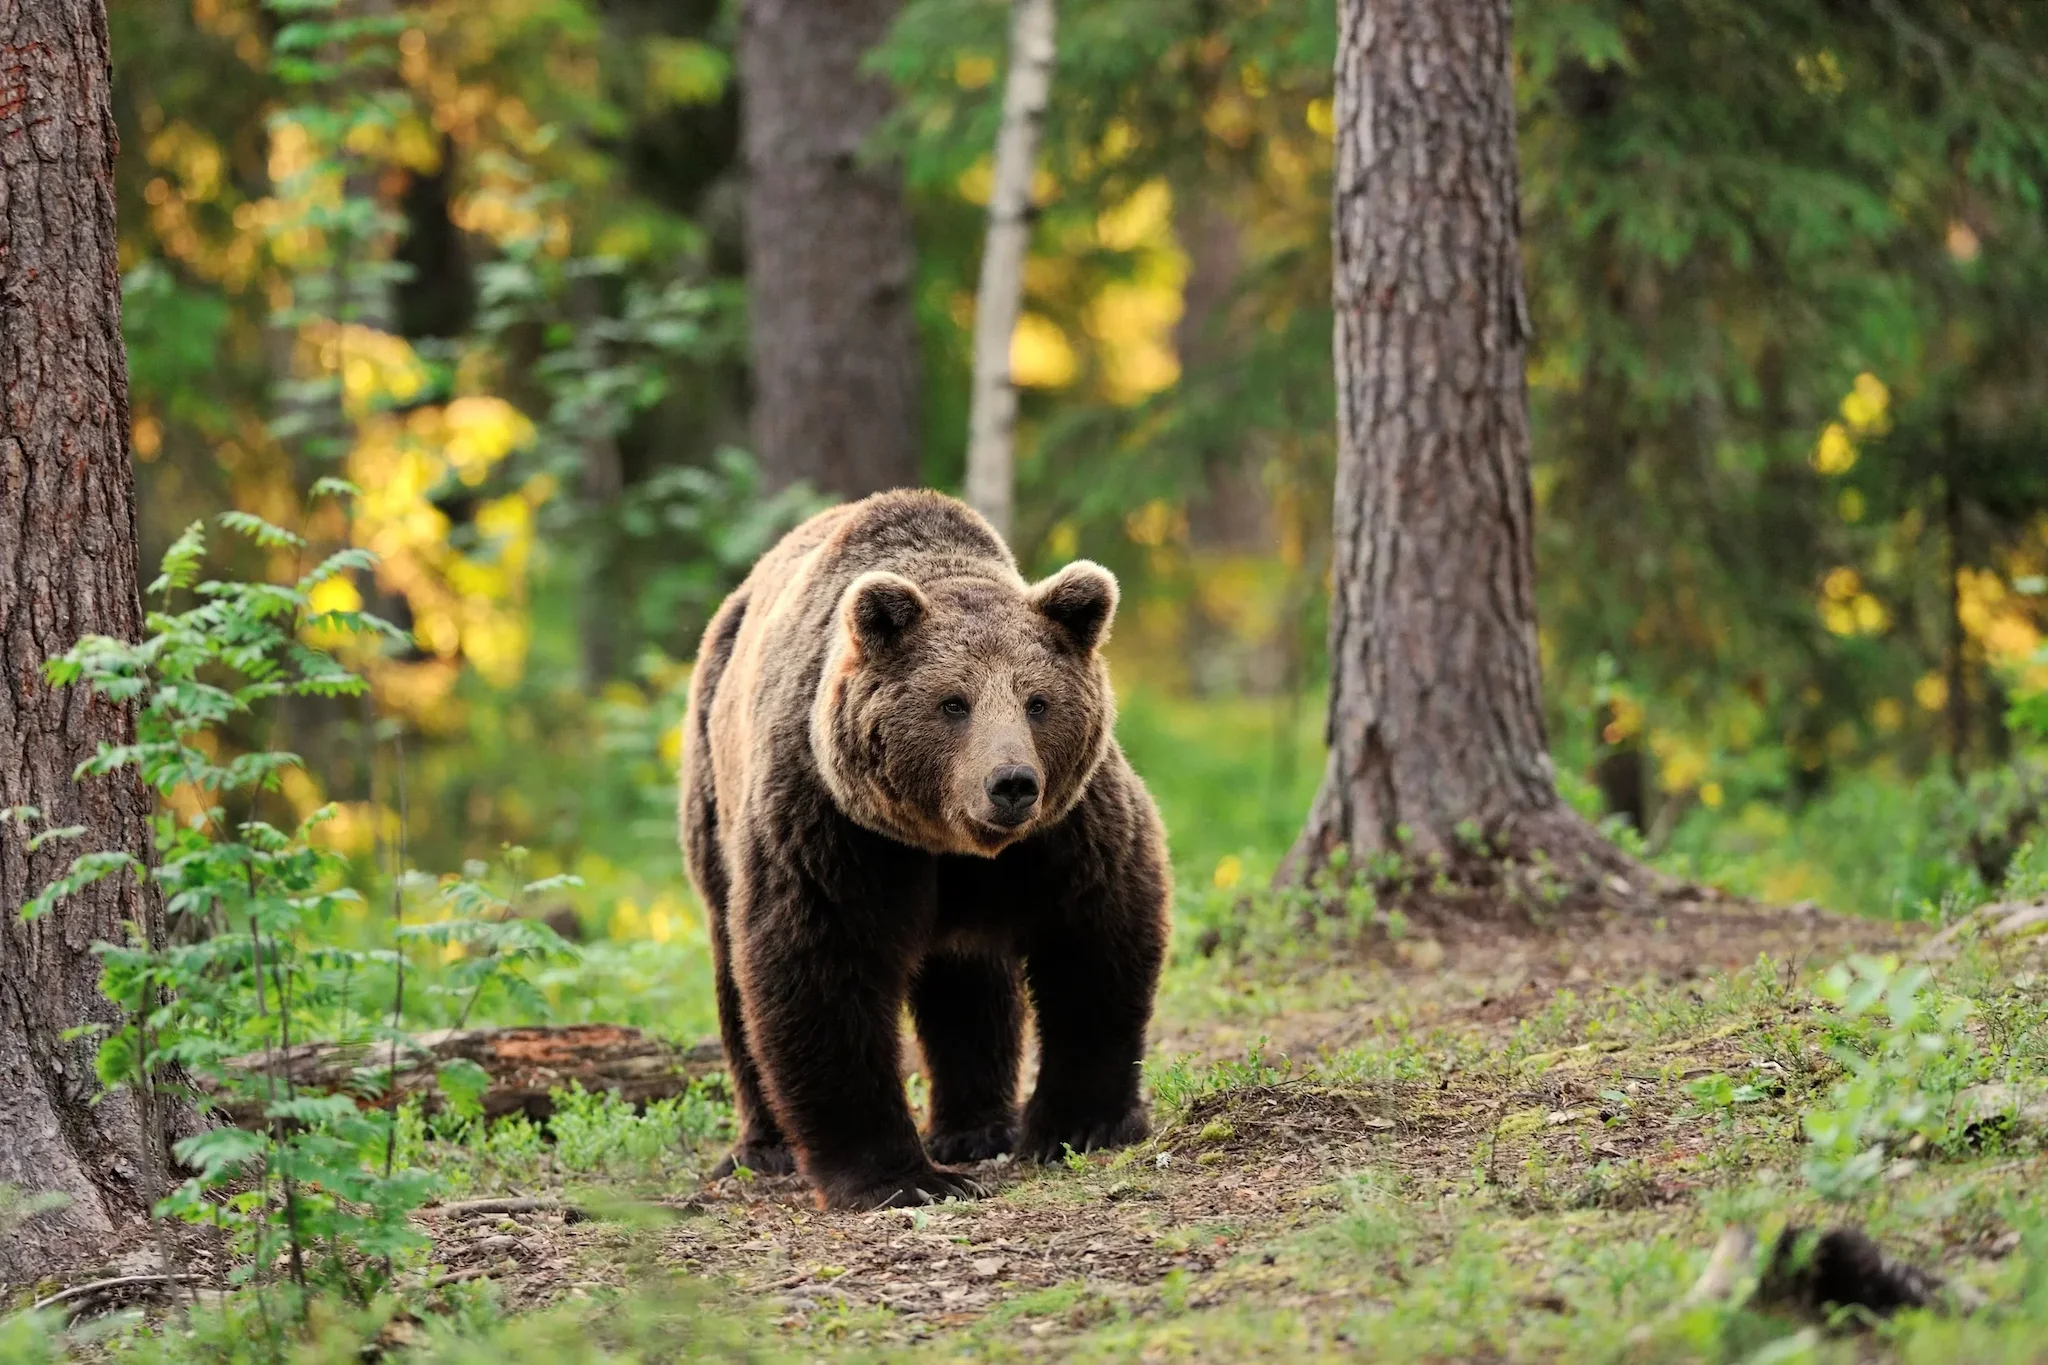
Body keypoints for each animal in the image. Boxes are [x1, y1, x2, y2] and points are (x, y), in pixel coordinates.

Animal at [680, 489, 1171, 1210]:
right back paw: (765, 1146)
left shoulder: (1066, 828)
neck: (947, 841)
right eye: (953, 702)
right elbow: (819, 969)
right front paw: (898, 1175)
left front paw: (1080, 1124)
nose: (1011, 783)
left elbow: (1095, 939)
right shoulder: (833, 825)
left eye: (1037, 701)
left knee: (969, 980)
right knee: (734, 976)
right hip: (714, 790)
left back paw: (976, 1128)